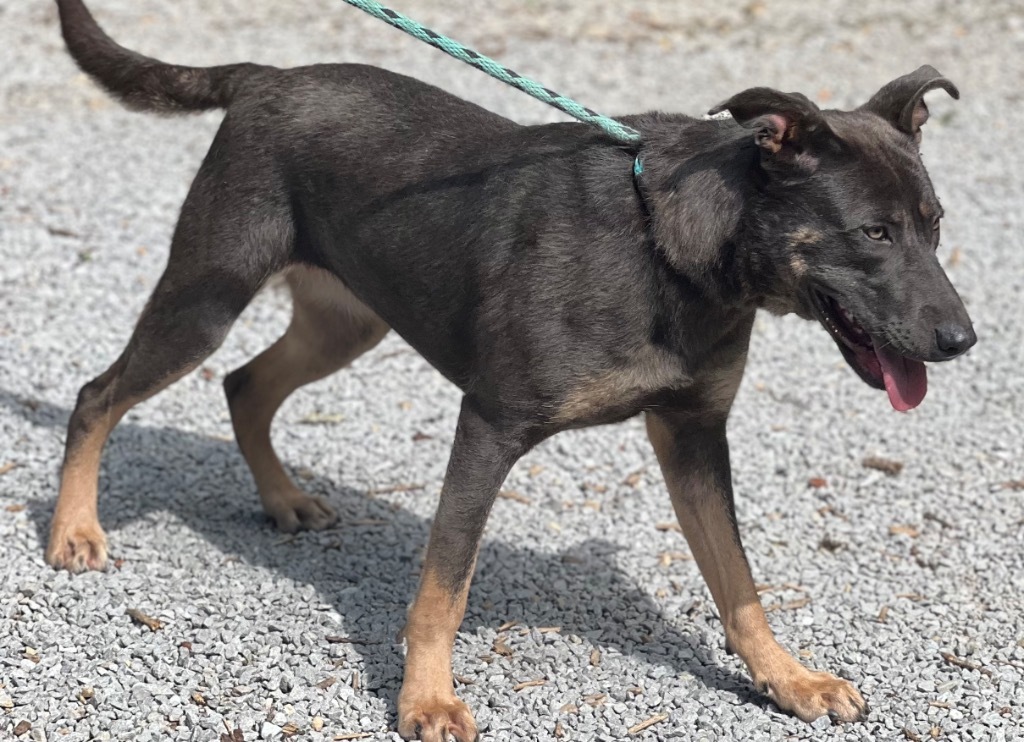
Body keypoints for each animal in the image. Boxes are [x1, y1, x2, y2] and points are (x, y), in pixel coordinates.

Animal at [49, 1, 974, 736]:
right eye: (873, 232)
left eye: (934, 223)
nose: (963, 340)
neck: (671, 250)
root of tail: (263, 78)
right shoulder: (490, 425)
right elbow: (443, 588)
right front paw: (426, 700)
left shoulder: (694, 432)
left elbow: (738, 582)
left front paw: (789, 680)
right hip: (206, 297)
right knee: (99, 394)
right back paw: (73, 530)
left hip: (347, 323)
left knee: (245, 384)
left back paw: (281, 499)